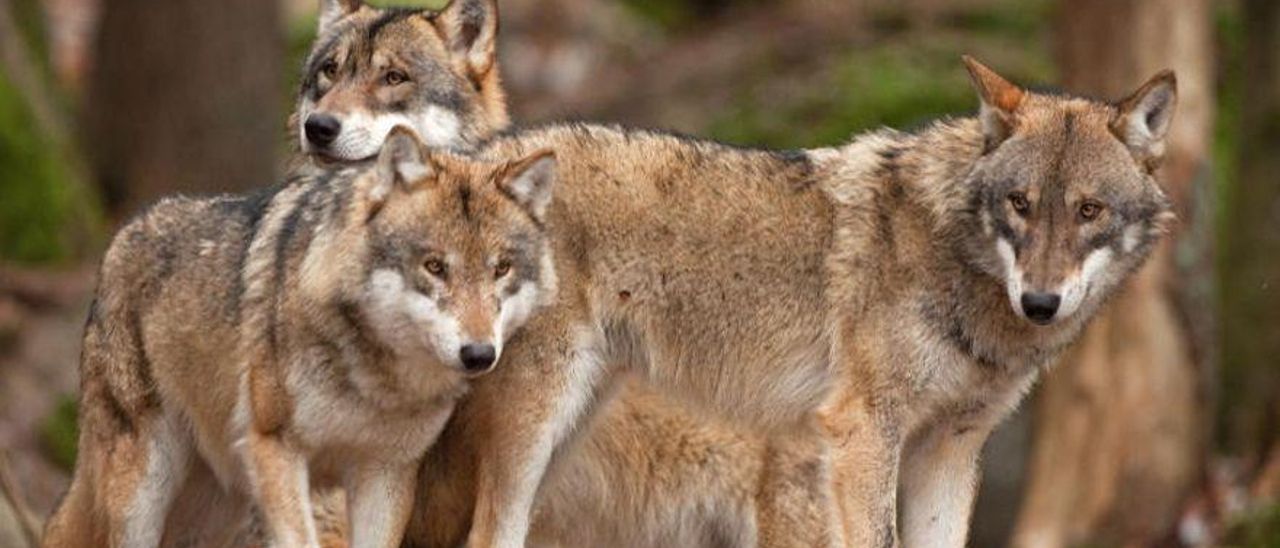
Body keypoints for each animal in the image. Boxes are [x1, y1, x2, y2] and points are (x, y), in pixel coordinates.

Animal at [40, 129, 558, 548]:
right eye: (434, 266)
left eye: (501, 269)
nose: (479, 354)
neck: (377, 381)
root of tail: (122, 234)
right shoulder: (277, 450)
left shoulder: (385, 474)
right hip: (144, 488)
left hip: (216, 503)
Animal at [404, 57, 1172, 545]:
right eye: (1020, 203)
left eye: (1089, 210)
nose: (1041, 302)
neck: (956, 261)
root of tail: (472, 159)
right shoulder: (862, 435)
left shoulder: (950, 450)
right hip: (537, 425)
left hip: (567, 431)